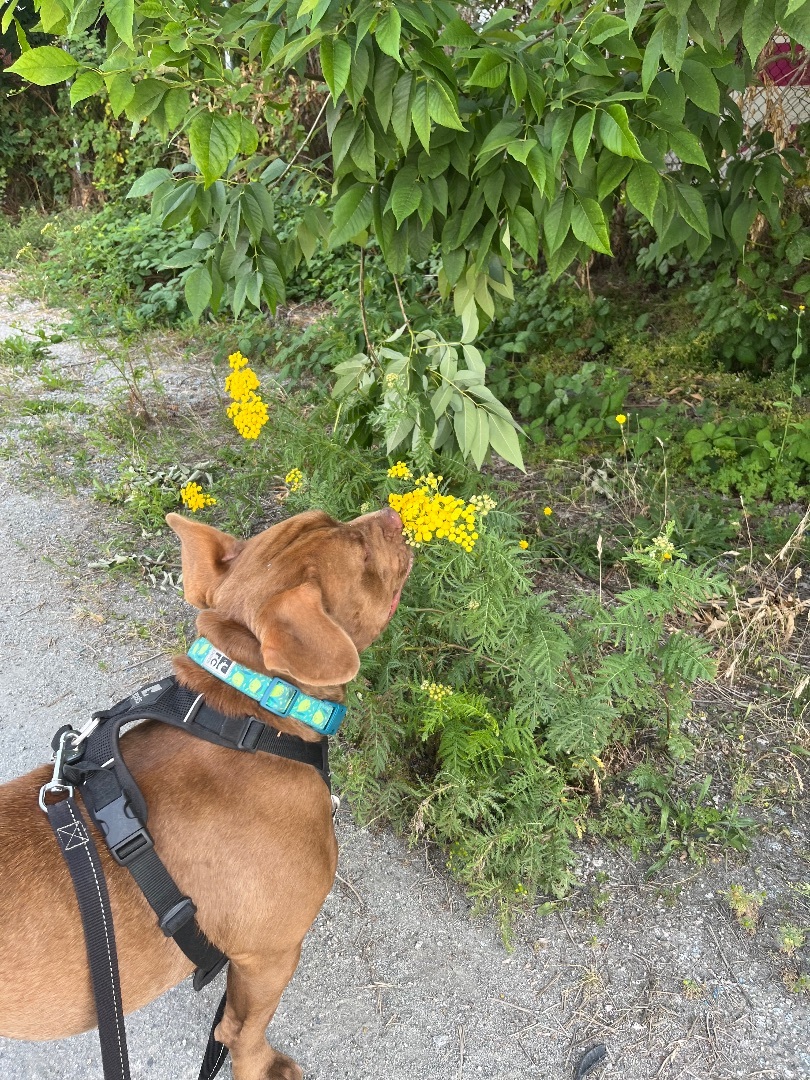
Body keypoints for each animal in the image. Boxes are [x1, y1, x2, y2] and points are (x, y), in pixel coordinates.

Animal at [0, 505, 412, 1080]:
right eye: (363, 554)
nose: (394, 514)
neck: (249, 713)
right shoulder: (269, 956)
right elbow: (240, 1031)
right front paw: (260, 1065)